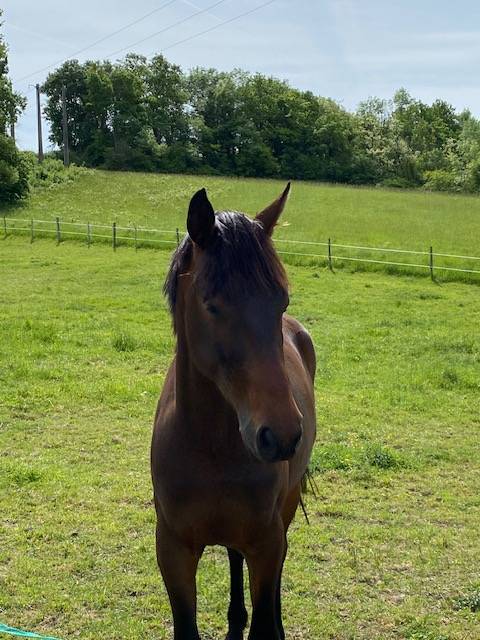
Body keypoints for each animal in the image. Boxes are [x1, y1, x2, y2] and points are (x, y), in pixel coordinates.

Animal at [151, 183, 316, 640]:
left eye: (281, 301)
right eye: (211, 305)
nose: (282, 434)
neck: (210, 447)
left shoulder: (266, 542)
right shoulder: (173, 550)